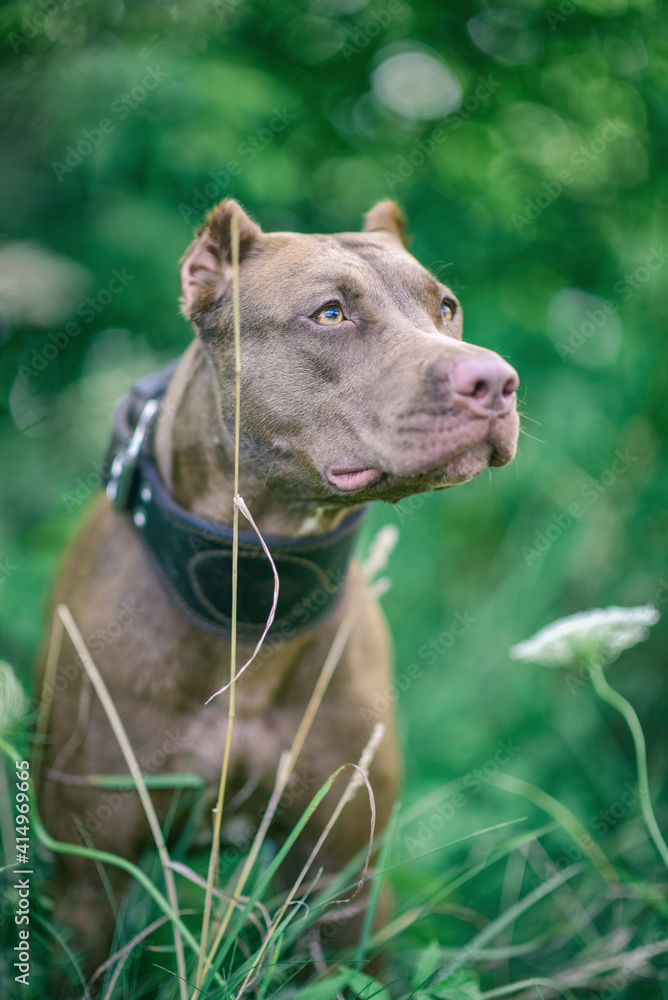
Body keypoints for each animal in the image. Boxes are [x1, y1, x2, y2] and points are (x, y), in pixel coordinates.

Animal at [34, 199, 520, 980]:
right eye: (329, 313)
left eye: (446, 307)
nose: (498, 381)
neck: (255, 590)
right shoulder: (88, 883)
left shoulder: (346, 875)